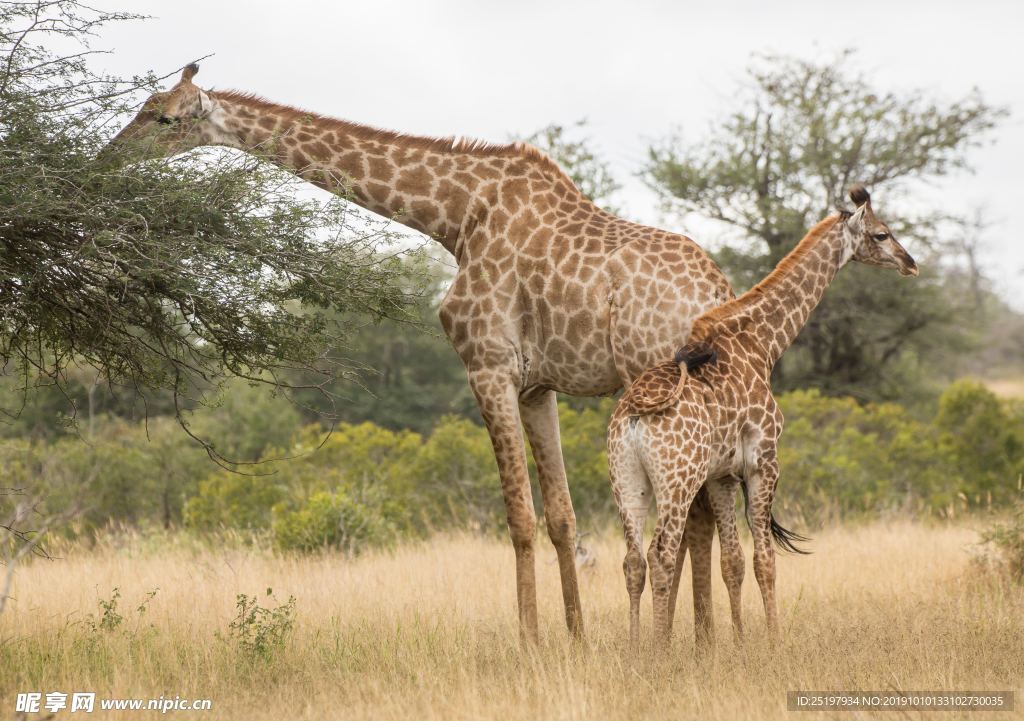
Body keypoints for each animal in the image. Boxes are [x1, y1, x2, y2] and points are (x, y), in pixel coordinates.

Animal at [103, 64, 733, 643]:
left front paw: (530, 641)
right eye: (143, 106)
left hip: (653, 384)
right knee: (702, 513)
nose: (106, 159)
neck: (457, 218)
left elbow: (518, 516)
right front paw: (575, 639)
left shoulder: (487, 366)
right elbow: (560, 516)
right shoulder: (536, 385)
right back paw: (703, 639)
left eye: (163, 117)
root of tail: (716, 291)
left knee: (689, 518)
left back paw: (678, 641)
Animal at [606, 186, 921, 647]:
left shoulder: (720, 475)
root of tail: (633, 415)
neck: (762, 343)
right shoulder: (764, 461)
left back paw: (634, 650)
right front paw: (774, 642)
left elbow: (733, 561)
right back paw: (659, 650)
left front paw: (739, 644)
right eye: (882, 233)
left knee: (632, 560)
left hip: (628, 479)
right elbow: (764, 561)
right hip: (677, 480)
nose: (910, 263)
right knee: (660, 553)